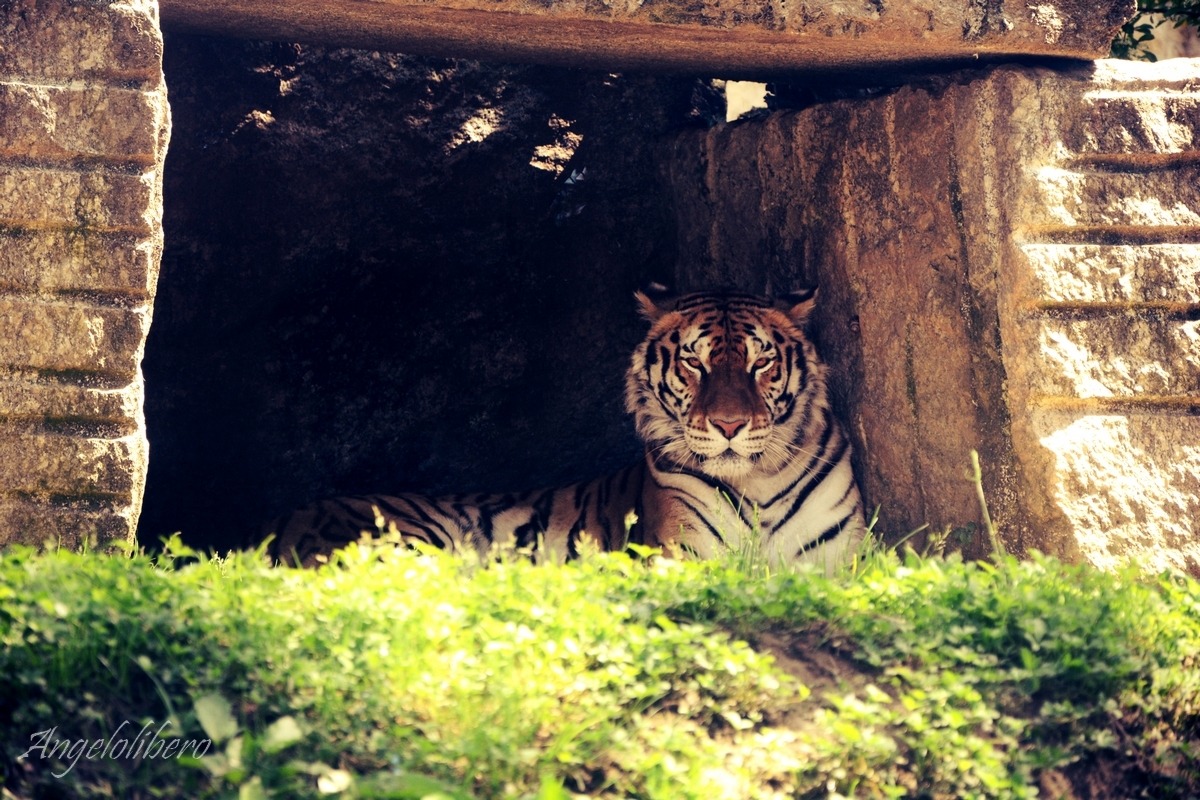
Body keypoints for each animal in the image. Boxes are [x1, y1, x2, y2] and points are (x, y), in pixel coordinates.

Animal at [265, 288, 866, 570]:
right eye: (694, 364)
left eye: (761, 363)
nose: (729, 425)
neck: (757, 481)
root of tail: (284, 523)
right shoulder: (683, 557)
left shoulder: (837, 563)